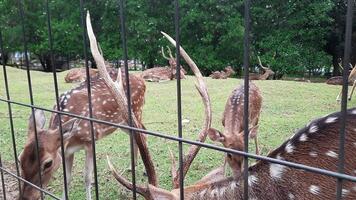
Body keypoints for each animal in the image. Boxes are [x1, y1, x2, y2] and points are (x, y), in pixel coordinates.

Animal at [17, 12, 157, 200]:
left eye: (47, 163)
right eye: (20, 158)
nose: (26, 197)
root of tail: (142, 81)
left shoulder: (91, 140)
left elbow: (87, 177)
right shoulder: (67, 150)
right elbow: (67, 179)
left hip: (136, 109)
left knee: (142, 131)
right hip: (121, 122)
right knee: (135, 135)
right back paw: (131, 167)